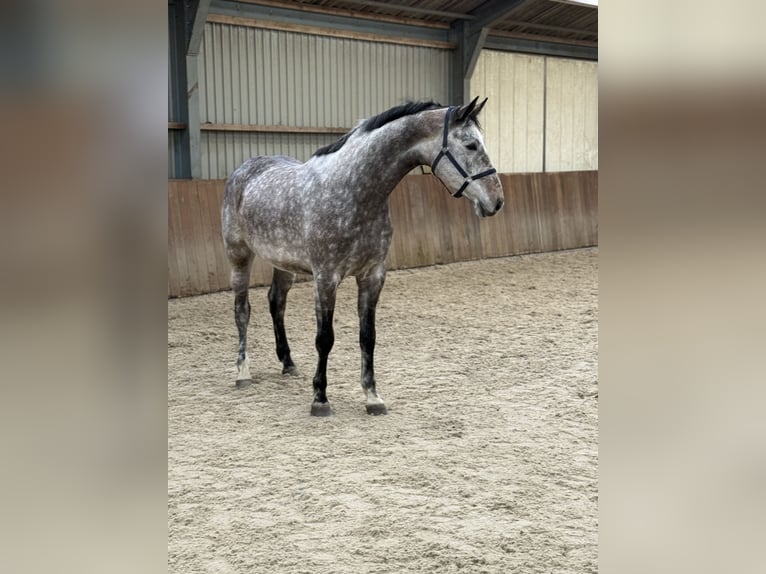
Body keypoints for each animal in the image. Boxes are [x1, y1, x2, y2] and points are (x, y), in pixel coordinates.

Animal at [221, 96, 504, 416]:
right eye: (471, 145)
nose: (496, 201)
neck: (353, 191)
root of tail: (245, 169)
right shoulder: (325, 278)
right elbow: (325, 338)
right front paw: (320, 398)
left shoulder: (372, 276)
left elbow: (368, 337)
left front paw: (372, 396)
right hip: (239, 256)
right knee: (242, 311)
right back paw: (242, 371)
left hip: (283, 263)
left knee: (276, 304)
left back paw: (288, 363)